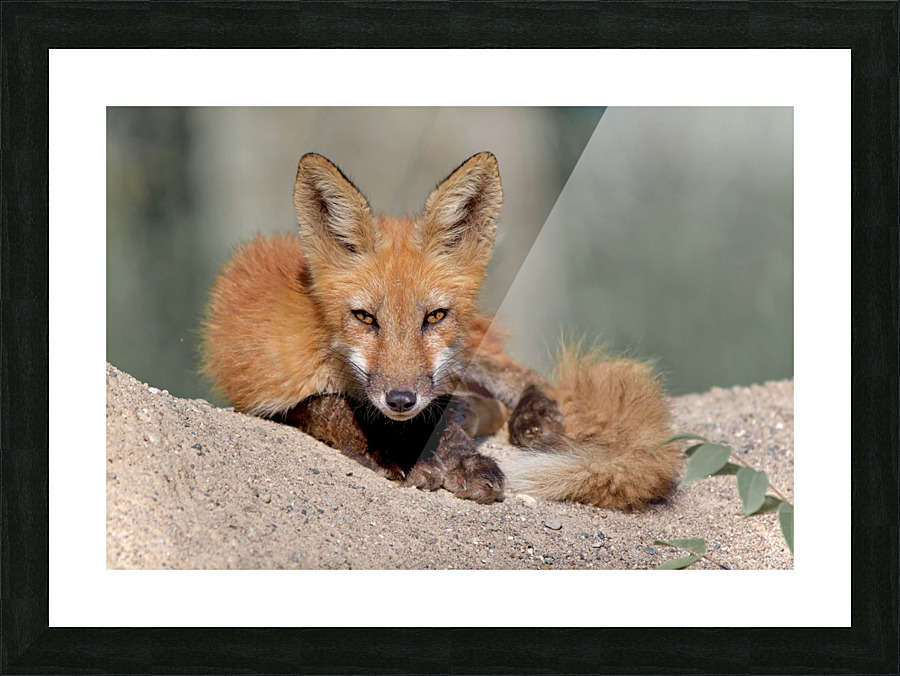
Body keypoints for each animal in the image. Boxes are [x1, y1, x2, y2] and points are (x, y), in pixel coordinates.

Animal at [202, 151, 681, 508]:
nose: (400, 400)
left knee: (522, 382)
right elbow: (332, 408)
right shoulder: (263, 392)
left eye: (433, 317)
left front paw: (458, 458)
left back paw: (527, 418)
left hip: (468, 357)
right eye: (364, 318)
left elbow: (438, 418)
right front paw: (392, 453)